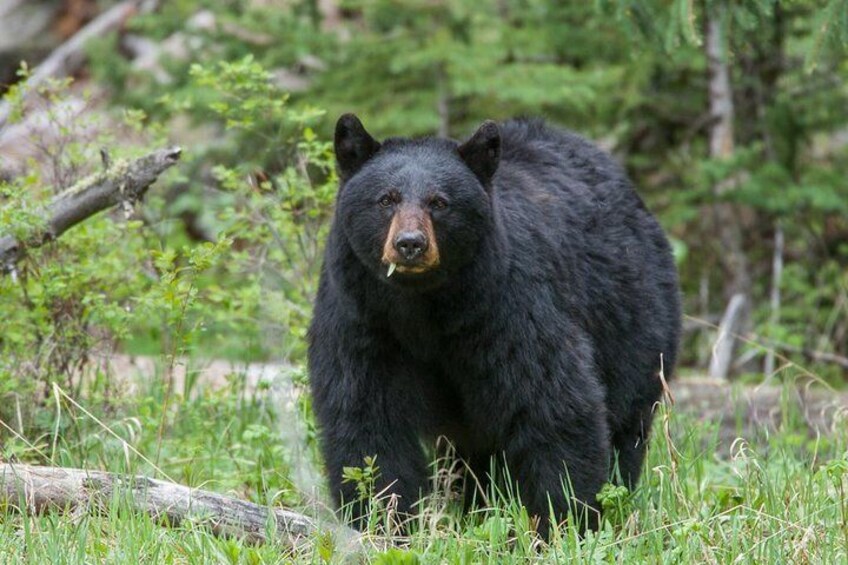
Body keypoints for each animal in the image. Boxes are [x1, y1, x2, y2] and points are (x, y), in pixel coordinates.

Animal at [308, 113, 680, 532]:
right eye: (386, 199)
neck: (423, 305)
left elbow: (551, 403)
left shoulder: (508, 307)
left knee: (625, 418)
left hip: (632, 318)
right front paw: (383, 519)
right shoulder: (362, 318)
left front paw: (564, 518)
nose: (410, 243)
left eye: (440, 202)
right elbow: (366, 414)